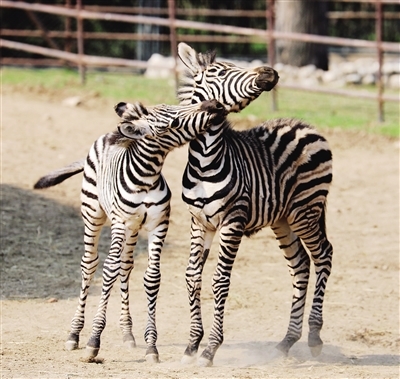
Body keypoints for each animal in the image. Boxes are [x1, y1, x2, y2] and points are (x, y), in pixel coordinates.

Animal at [32, 99, 227, 364]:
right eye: (174, 121)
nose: (214, 104)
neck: (147, 178)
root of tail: (111, 134)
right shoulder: (120, 223)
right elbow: (109, 270)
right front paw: (93, 341)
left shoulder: (158, 225)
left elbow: (151, 278)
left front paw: (151, 346)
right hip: (94, 216)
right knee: (90, 265)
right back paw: (74, 333)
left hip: (134, 229)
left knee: (126, 266)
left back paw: (128, 333)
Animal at [177, 43, 332, 366]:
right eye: (219, 72)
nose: (269, 72)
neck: (204, 160)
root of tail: (307, 127)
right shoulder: (198, 222)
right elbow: (192, 277)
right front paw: (191, 344)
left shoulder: (232, 221)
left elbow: (220, 281)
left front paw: (210, 348)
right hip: (283, 219)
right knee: (301, 265)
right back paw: (286, 342)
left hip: (305, 211)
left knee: (324, 255)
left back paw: (314, 337)